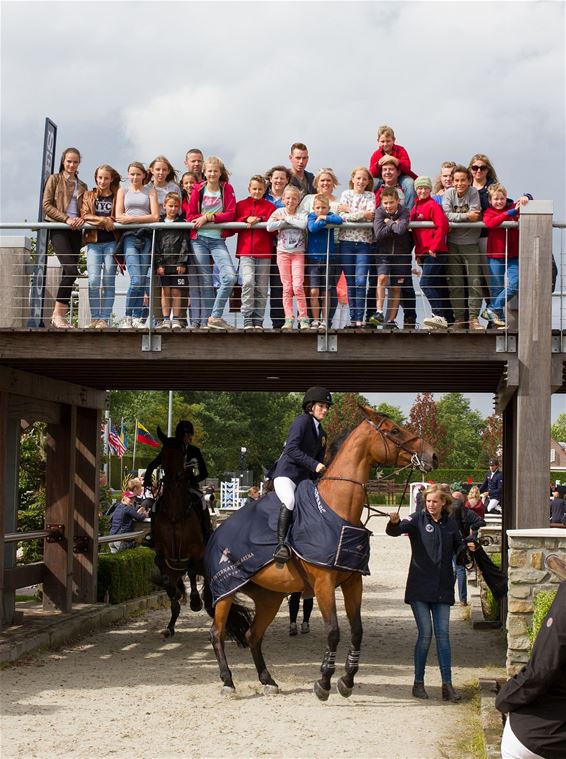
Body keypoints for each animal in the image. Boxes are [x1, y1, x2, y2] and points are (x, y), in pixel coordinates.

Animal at [209, 406, 440, 696]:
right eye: (395, 430)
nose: (433, 456)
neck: (337, 508)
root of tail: (217, 532)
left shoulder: (352, 581)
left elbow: (357, 631)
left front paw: (347, 681)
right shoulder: (323, 583)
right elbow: (333, 631)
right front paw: (324, 681)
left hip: (269, 598)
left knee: (253, 635)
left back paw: (268, 680)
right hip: (225, 590)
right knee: (217, 634)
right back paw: (227, 682)